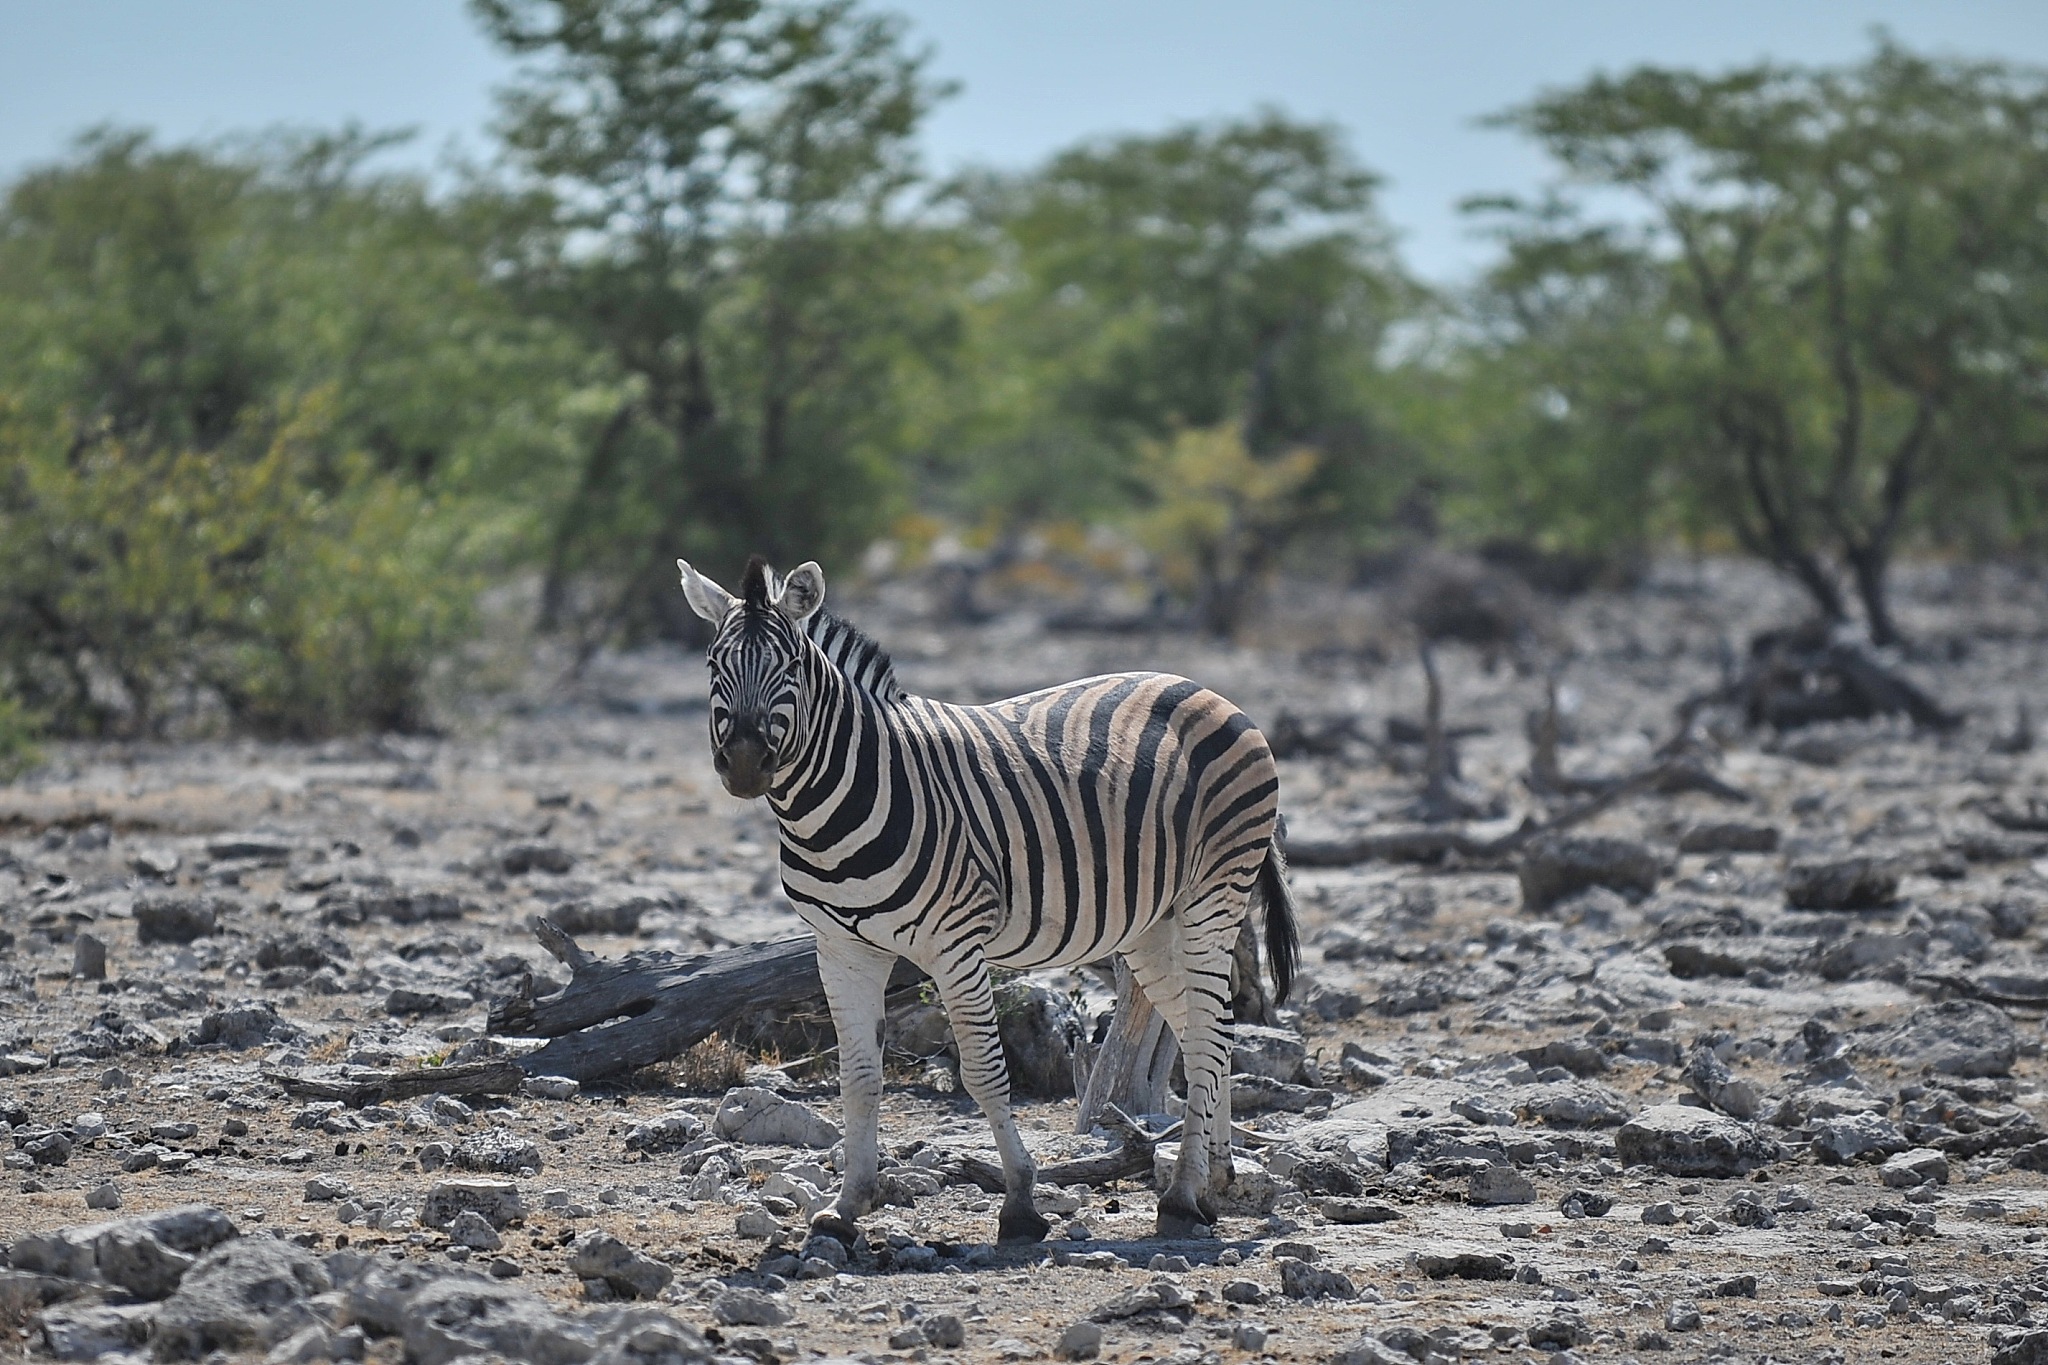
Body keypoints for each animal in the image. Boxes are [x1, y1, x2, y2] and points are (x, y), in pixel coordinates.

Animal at [676, 554, 1297, 1244]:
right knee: (1203, 1030)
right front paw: (846, 1207)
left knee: (1212, 1037)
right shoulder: (840, 948)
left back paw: (1184, 1197)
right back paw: (1217, 1177)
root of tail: (1205, 688)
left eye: (789, 667)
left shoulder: (954, 942)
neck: (836, 802)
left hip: (1210, 899)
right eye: (714, 665)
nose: (744, 764)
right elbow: (859, 1077)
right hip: (1151, 927)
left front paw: (1020, 1203)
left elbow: (982, 1071)